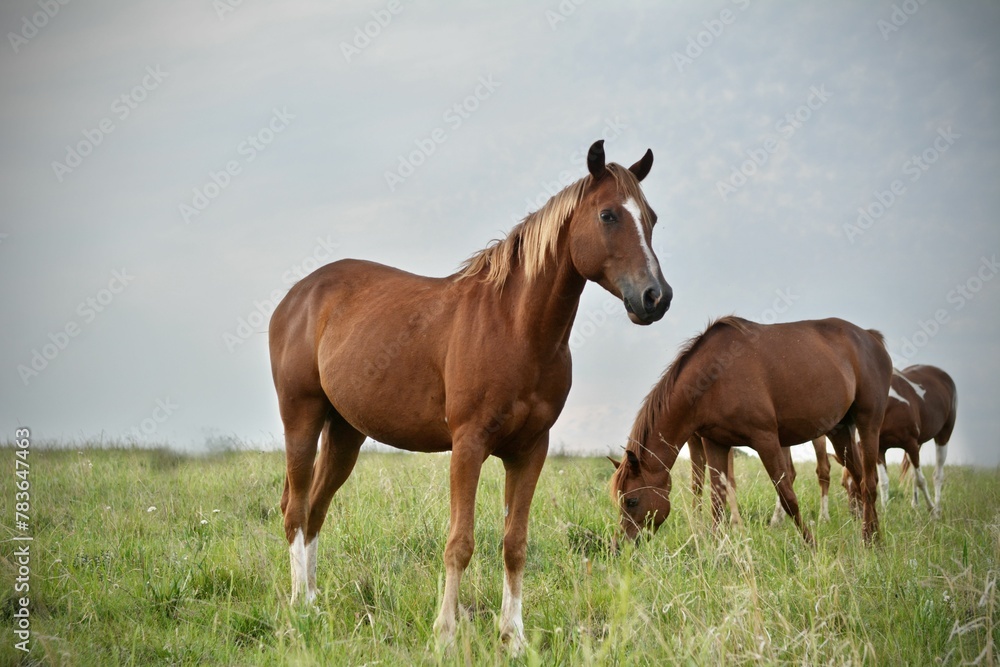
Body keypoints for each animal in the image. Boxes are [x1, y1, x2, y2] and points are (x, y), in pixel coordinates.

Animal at [608, 316, 892, 544]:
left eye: (631, 501)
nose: (620, 545)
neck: (714, 377)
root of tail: (872, 338)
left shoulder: (766, 439)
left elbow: (787, 496)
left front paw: (811, 544)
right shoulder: (715, 443)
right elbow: (718, 500)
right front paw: (718, 550)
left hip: (868, 424)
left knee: (869, 483)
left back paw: (873, 541)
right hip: (839, 431)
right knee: (860, 479)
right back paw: (872, 533)